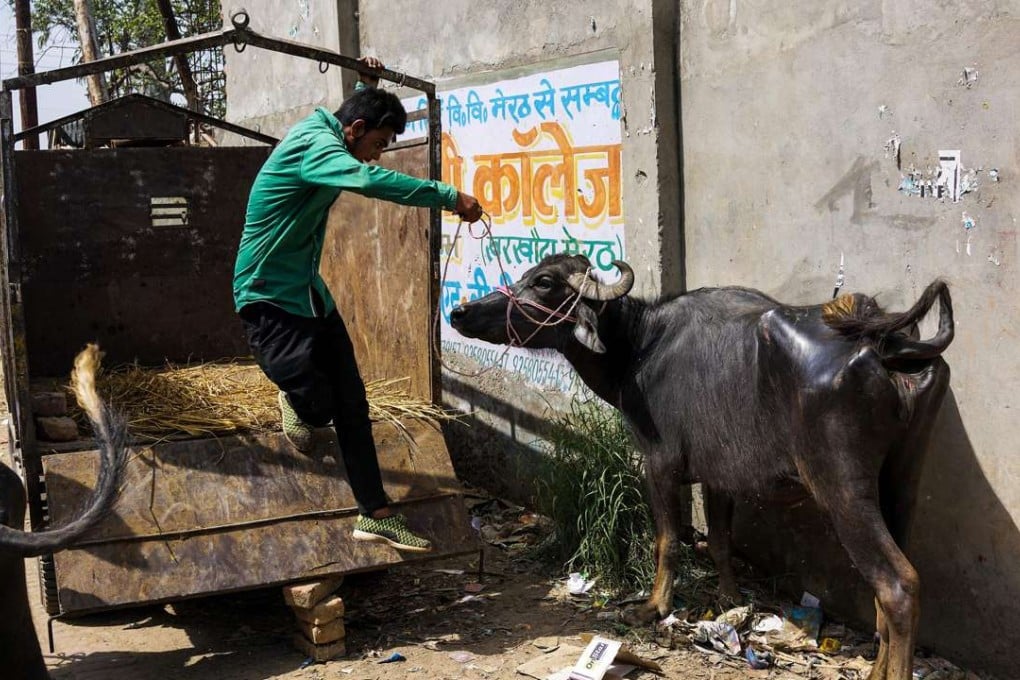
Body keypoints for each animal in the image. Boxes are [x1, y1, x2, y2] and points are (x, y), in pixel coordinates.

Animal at [450, 253, 953, 680]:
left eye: (544, 282)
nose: (460, 312)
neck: (639, 346)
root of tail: (883, 343)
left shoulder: (660, 463)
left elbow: (668, 541)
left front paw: (652, 607)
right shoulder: (719, 476)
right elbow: (721, 540)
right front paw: (730, 600)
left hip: (841, 488)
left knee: (898, 584)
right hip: (898, 482)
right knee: (883, 588)